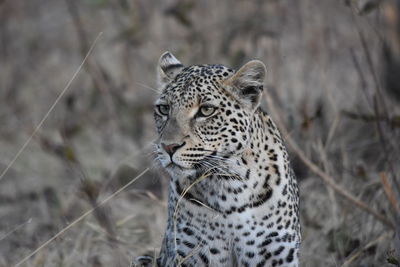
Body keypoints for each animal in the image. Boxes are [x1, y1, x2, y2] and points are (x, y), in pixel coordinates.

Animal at [134, 52, 300, 267]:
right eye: (164, 108)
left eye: (206, 110)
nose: (168, 147)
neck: (229, 186)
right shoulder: (193, 255)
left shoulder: (276, 255)